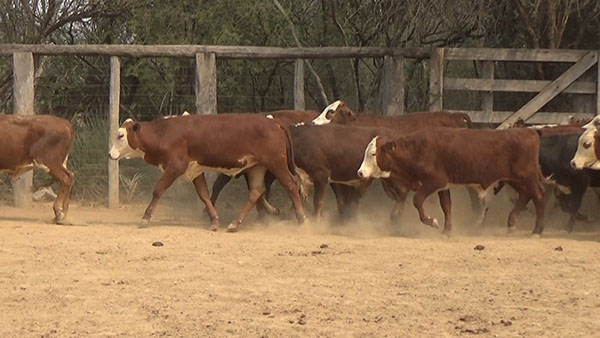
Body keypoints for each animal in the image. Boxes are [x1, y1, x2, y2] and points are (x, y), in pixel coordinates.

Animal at [106, 113, 304, 232]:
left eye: (121, 135)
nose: (109, 154)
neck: (163, 133)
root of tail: (275, 122)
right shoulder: (195, 170)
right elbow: (204, 195)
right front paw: (214, 220)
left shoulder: (175, 167)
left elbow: (158, 190)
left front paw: (145, 218)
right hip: (256, 167)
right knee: (256, 191)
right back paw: (235, 223)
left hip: (276, 163)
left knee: (291, 185)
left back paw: (301, 219)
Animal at [356, 128, 548, 236]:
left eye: (373, 153)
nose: (360, 172)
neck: (417, 149)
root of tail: (531, 132)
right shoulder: (443, 185)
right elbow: (446, 206)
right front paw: (447, 230)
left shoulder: (434, 181)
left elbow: (417, 200)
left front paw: (432, 221)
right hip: (515, 179)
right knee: (525, 194)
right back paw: (512, 224)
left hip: (526, 176)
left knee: (538, 196)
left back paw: (537, 231)